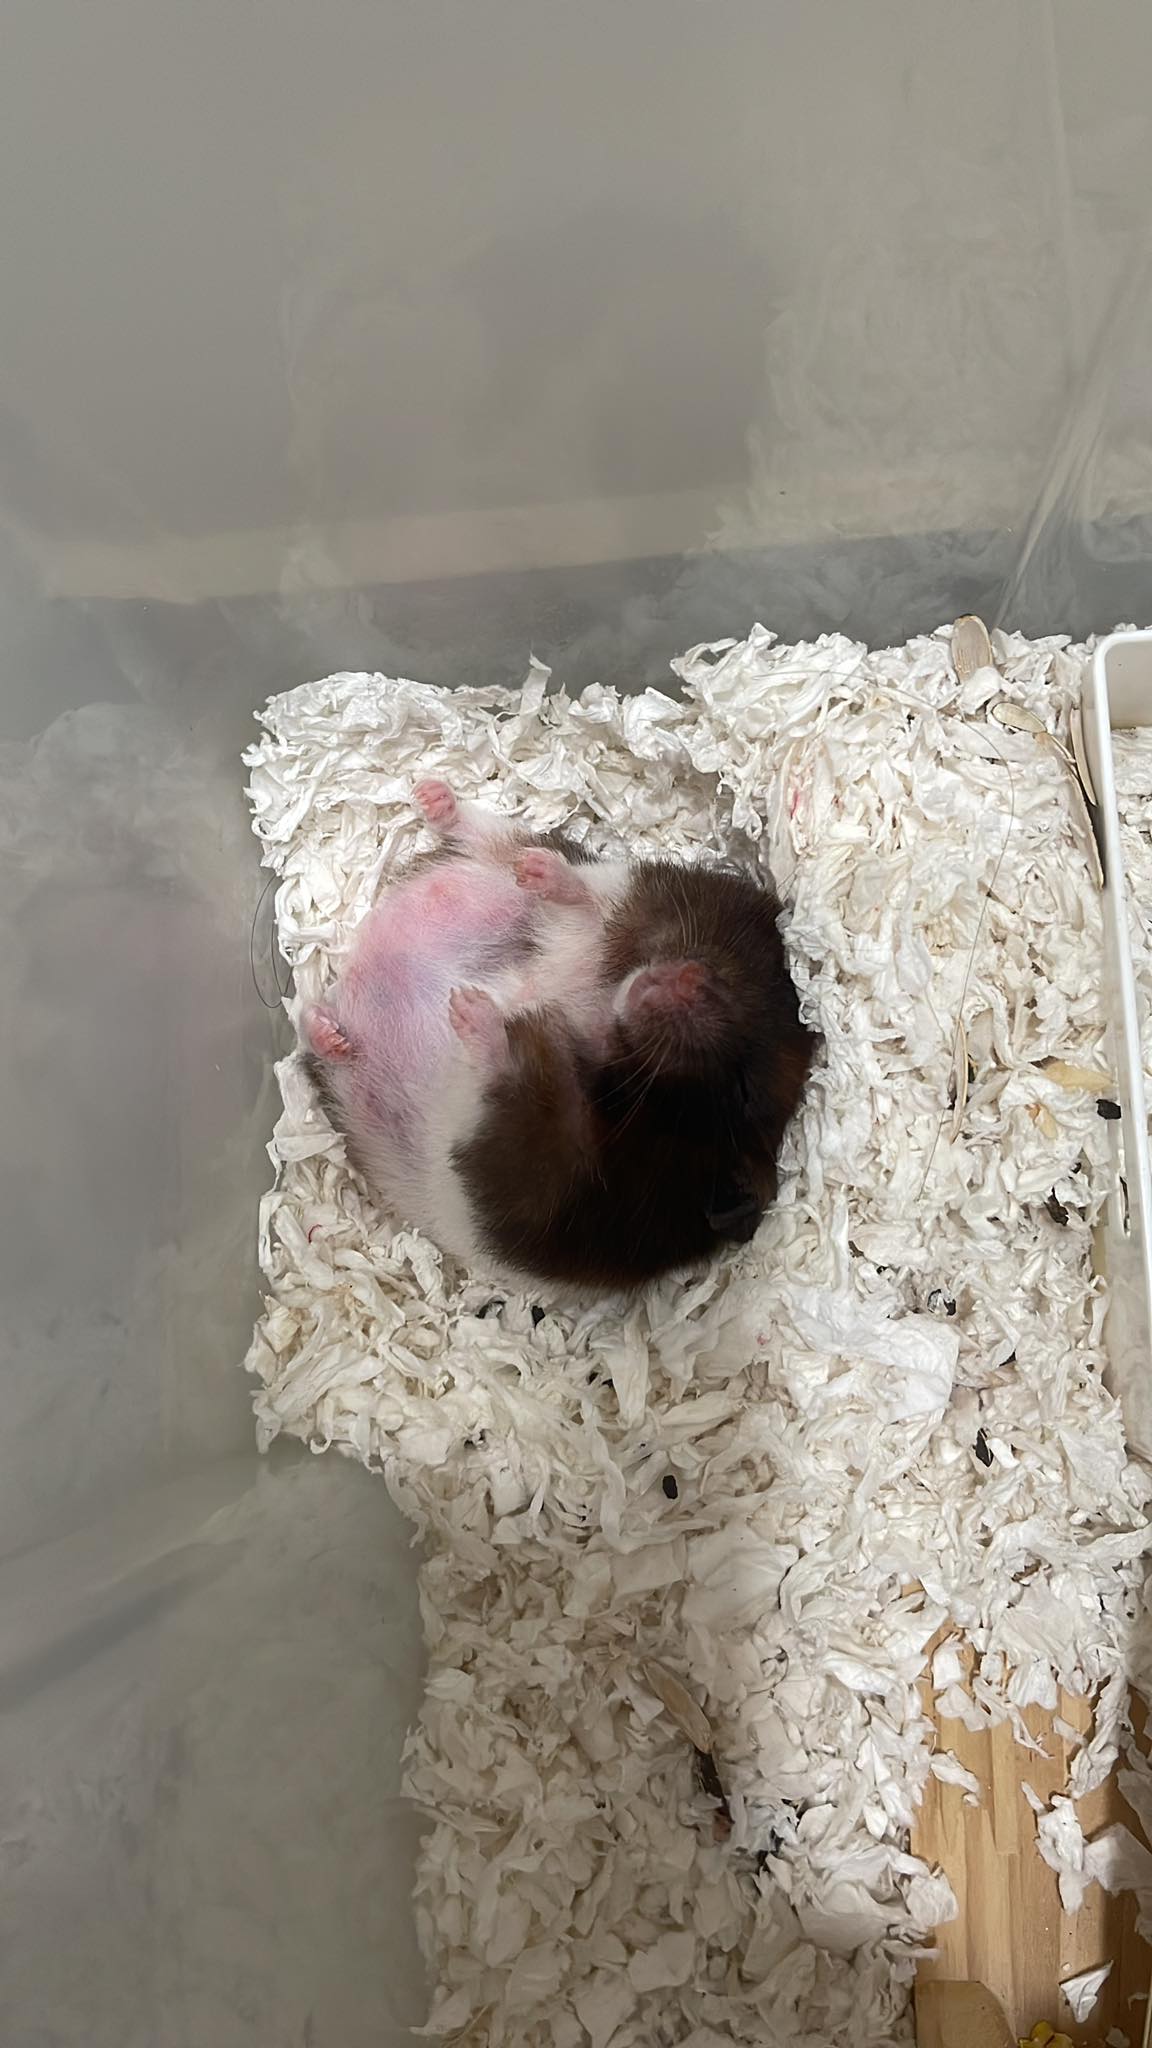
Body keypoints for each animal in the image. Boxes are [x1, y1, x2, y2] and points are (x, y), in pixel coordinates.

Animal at [301, 779, 814, 1292]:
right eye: (733, 970)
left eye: (744, 1091)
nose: (691, 982)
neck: (605, 1017)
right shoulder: (639, 899)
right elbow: (592, 903)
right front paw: (538, 871)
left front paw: (476, 1013)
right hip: (537, 886)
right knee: (522, 857)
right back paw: (453, 811)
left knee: (502, 1080)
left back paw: (469, 1009)